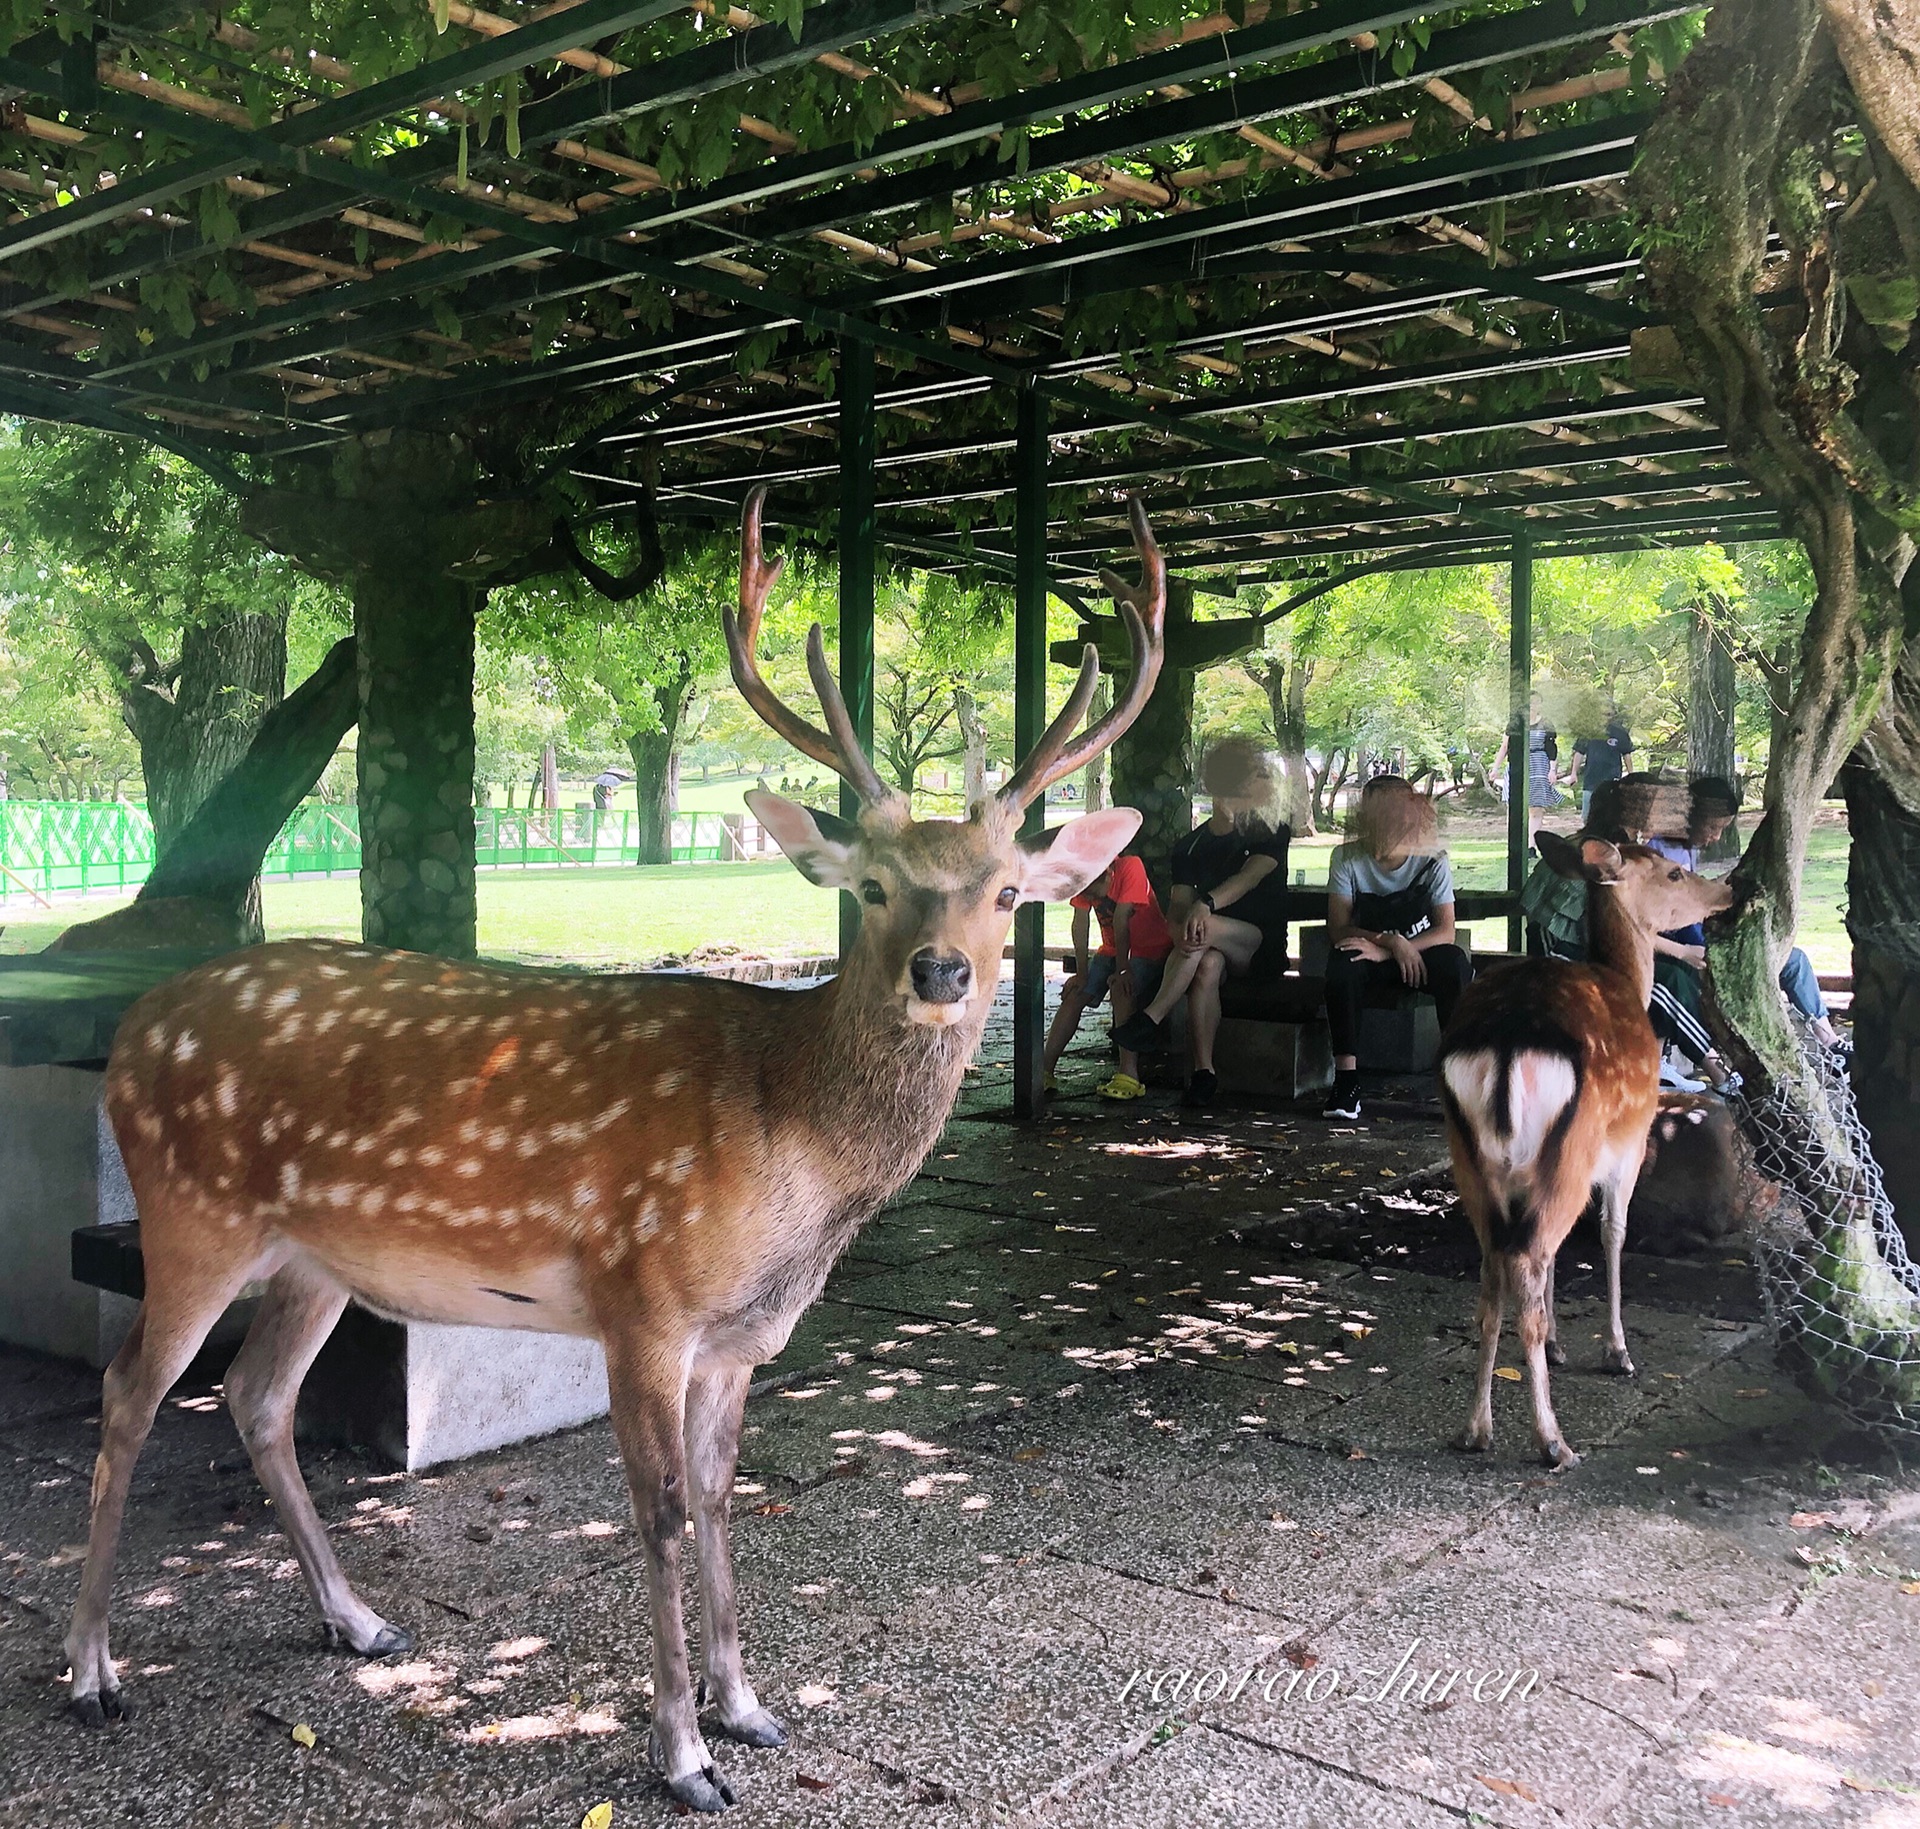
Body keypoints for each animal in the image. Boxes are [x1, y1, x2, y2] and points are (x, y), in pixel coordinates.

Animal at [60, 489, 1159, 1811]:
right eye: (874, 887)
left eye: (1005, 893)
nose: (941, 972)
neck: (791, 1166)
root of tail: (134, 1027)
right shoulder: (644, 1295)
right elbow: (663, 1513)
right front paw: (683, 1754)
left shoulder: (740, 1336)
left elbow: (730, 1499)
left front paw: (750, 1708)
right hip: (192, 1210)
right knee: (131, 1389)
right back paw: (92, 1671)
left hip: (316, 1256)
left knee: (254, 1393)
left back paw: (358, 1619)